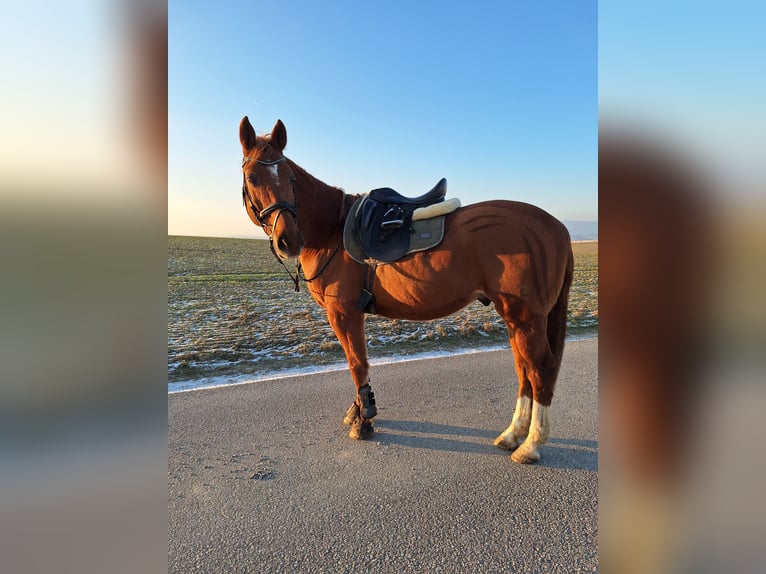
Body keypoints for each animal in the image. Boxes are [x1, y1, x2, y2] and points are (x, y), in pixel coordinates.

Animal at [242, 119, 576, 466]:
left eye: (291, 179)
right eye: (253, 177)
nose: (288, 240)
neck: (333, 229)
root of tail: (557, 227)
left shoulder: (344, 312)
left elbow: (357, 363)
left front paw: (365, 420)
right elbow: (356, 361)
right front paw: (357, 410)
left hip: (525, 316)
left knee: (540, 368)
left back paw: (531, 444)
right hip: (515, 316)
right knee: (524, 368)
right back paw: (513, 434)